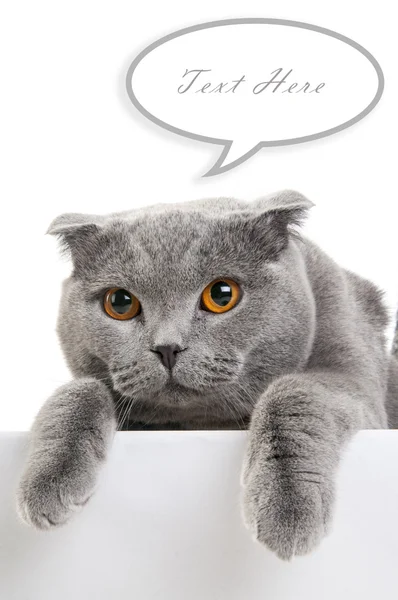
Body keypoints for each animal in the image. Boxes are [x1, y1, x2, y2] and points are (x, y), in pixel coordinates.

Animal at [16, 190, 398, 560]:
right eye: (120, 303)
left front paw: (287, 507)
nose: (167, 347)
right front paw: (47, 481)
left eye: (222, 294)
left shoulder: (354, 378)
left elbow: (294, 390)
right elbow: (81, 388)